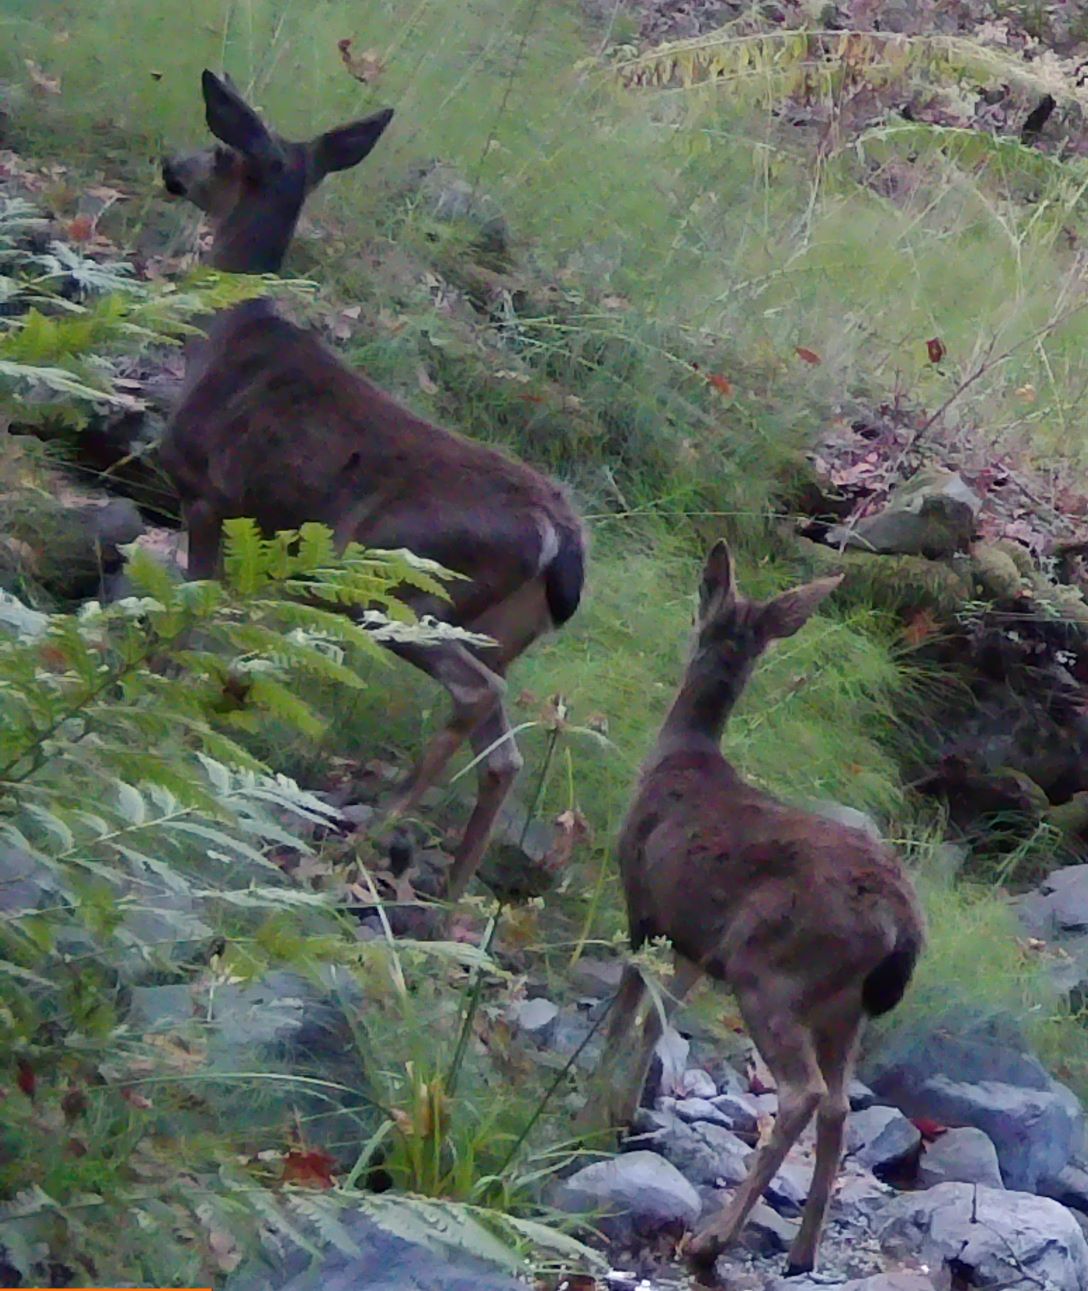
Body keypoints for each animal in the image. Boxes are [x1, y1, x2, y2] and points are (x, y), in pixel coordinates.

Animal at [158, 71, 586, 901]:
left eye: (222, 149)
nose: (171, 167)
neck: (226, 330)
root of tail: (561, 540)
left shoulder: (210, 495)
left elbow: (190, 615)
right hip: (501, 631)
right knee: (503, 748)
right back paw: (449, 894)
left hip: (405, 584)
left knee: (475, 696)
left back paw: (369, 835)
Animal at [577, 541, 925, 1277]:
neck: (683, 755)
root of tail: (902, 927)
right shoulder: (691, 942)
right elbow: (658, 1021)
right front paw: (624, 1109)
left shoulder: (642, 902)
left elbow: (626, 1006)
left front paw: (592, 1103)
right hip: (843, 1006)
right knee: (839, 1107)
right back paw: (802, 1249)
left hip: (769, 967)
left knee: (803, 1094)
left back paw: (711, 1239)